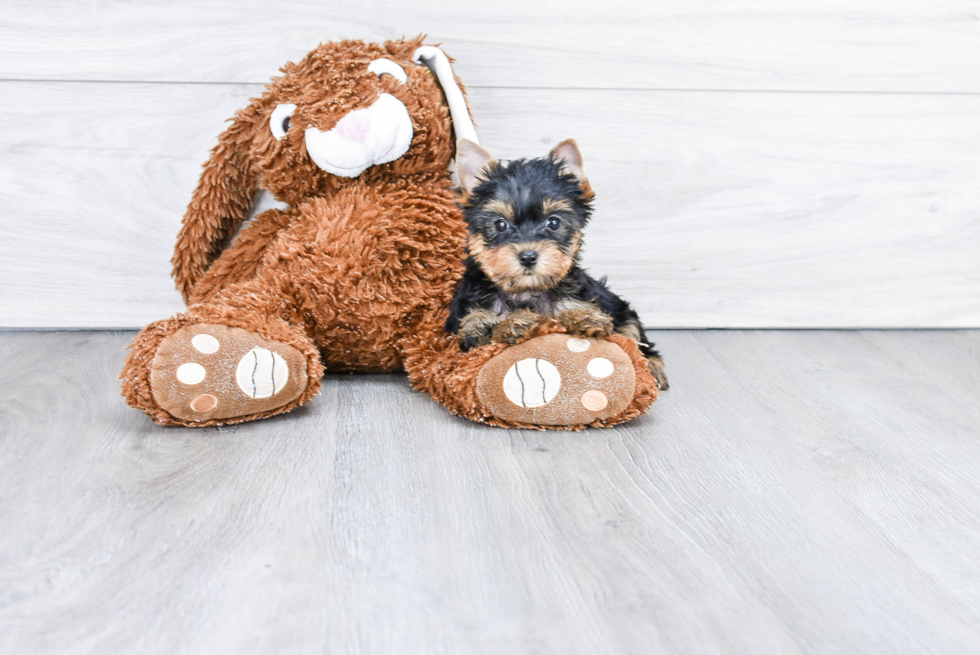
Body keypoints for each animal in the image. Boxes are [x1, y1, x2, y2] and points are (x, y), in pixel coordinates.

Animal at [448, 138, 668, 390]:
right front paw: (516, 323)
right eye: (500, 224)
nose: (528, 256)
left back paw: (652, 367)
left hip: (617, 305)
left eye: (553, 222)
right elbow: (483, 333)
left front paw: (584, 318)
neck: (526, 290)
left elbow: (572, 313)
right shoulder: (470, 325)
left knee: (634, 333)